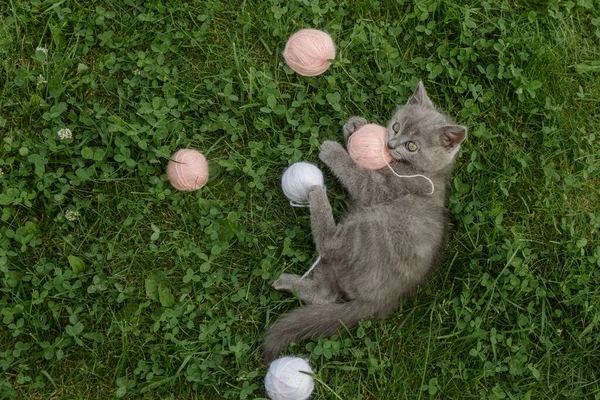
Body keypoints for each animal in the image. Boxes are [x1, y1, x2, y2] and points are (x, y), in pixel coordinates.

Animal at [264, 81, 466, 362]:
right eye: (396, 127)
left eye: (412, 146)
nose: (390, 144)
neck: (429, 172)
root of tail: (377, 301)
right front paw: (354, 126)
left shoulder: (386, 188)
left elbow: (359, 177)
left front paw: (334, 151)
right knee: (325, 294)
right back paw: (287, 282)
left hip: (366, 231)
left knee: (329, 244)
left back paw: (317, 195)